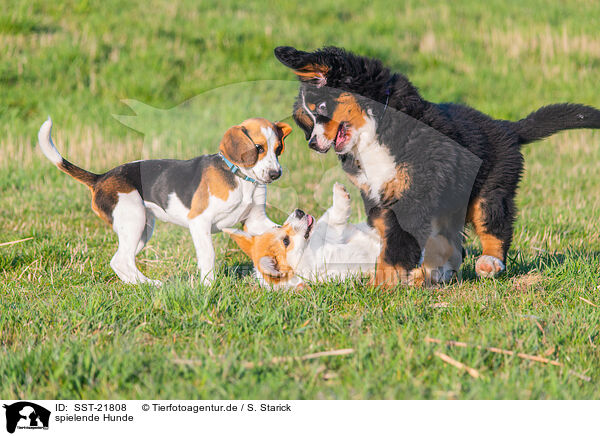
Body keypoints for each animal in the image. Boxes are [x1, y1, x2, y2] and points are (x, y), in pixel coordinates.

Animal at [37, 116, 290, 286]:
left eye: (278, 149)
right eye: (258, 148)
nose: (275, 174)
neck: (242, 179)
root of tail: (102, 177)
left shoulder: (256, 220)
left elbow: (277, 228)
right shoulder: (199, 222)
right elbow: (208, 255)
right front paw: (208, 286)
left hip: (142, 230)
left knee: (119, 261)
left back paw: (139, 286)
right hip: (134, 221)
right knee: (123, 259)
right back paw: (151, 285)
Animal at [276, 46, 600, 286]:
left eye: (320, 108)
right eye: (307, 121)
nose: (312, 144)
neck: (376, 127)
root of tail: (506, 127)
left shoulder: (414, 193)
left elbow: (395, 246)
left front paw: (381, 286)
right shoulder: (378, 197)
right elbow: (387, 237)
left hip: (490, 189)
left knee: (495, 227)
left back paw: (489, 263)